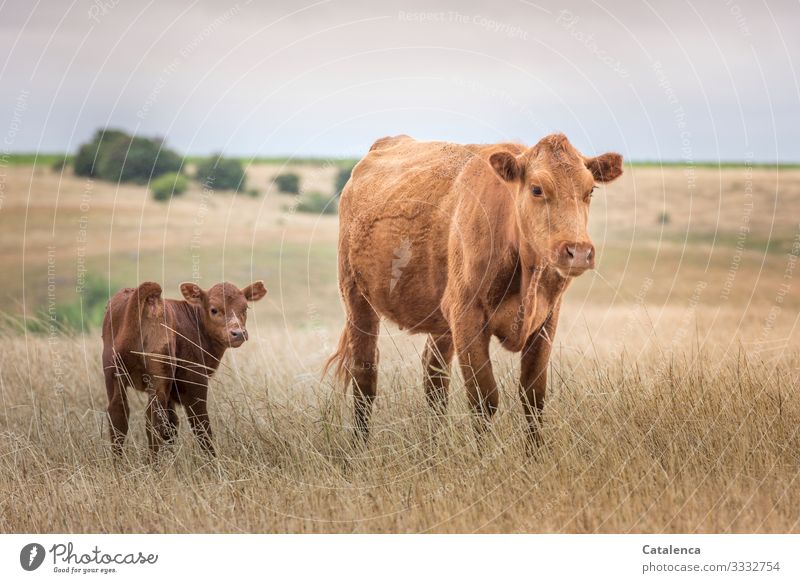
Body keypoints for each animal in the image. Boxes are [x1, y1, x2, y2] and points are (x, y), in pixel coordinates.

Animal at [101, 280, 266, 458]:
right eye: (214, 309)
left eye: (245, 308)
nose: (238, 333)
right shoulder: (194, 381)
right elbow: (199, 424)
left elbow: (172, 426)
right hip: (160, 375)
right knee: (158, 419)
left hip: (113, 372)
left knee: (119, 414)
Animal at [326, 133, 624, 442]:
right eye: (537, 189)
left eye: (590, 191)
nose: (578, 251)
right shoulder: (467, 317)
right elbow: (484, 398)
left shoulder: (546, 319)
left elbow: (533, 395)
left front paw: (536, 452)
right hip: (357, 298)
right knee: (364, 376)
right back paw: (360, 446)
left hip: (440, 317)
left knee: (434, 377)